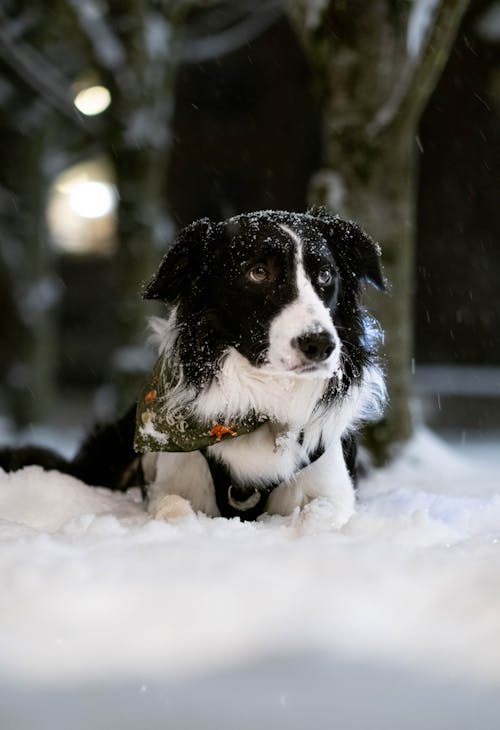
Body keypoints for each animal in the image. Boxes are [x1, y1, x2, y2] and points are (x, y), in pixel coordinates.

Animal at [0, 208, 386, 528]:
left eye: (325, 275)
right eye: (258, 272)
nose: (320, 345)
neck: (262, 399)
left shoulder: (330, 487)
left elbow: (318, 517)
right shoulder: (173, 479)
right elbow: (174, 509)